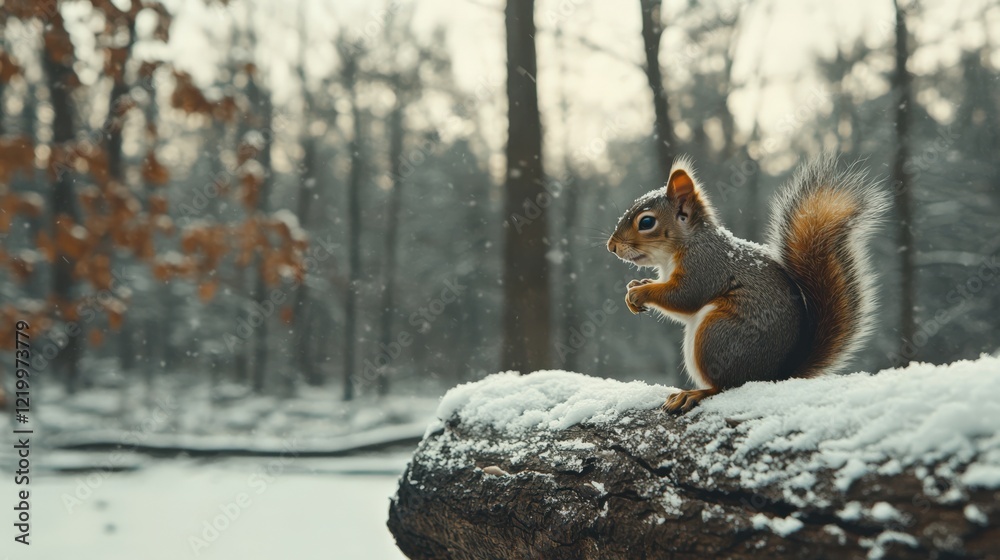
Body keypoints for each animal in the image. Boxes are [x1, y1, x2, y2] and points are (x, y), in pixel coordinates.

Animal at [607, 155, 889, 413]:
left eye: (646, 222)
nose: (611, 246)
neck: (686, 244)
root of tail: (775, 374)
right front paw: (636, 284)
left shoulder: (705, 266)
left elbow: (684, 297)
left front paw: (641, 292)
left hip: (717, 335)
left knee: (724, 385)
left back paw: (694, 393)